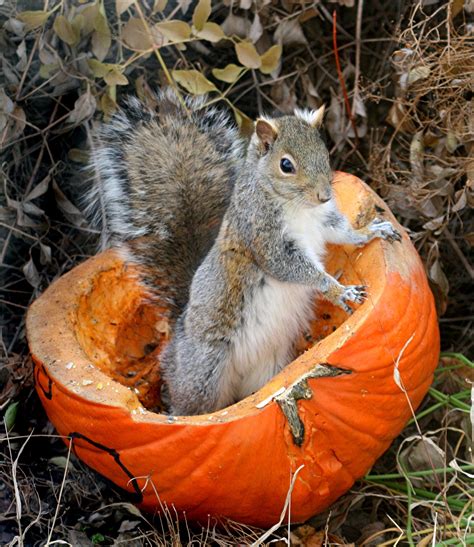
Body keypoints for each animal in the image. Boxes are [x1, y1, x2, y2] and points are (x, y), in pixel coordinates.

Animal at [89, 89, 400, 416]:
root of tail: (176, 339)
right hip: (205, 369)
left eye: (324, 152)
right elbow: (291, 267)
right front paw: (338, 290)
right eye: (286, 165)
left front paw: (371, 232)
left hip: (266, 366)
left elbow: (343, 232)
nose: (325, 195)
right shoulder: (262, 236)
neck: (297, 206)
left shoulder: (324, 221)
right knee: (193, 405)